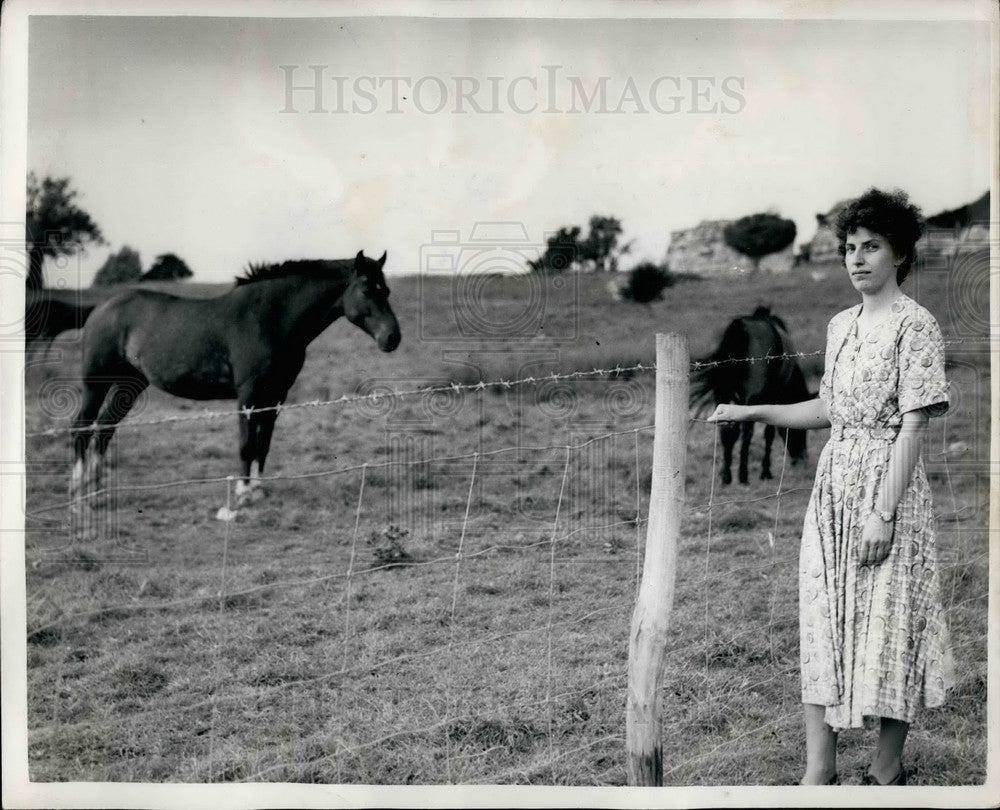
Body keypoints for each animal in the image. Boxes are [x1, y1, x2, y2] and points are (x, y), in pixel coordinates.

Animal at [72, 249, 400, 520]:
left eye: (386, 290)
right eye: (367, 289)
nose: (392, 338)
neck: (269, 317)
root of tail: (99, 309)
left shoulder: (276, 396)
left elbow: (263, 445)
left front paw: (257, 491)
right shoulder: (248, 393)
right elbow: (246, 445)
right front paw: (241, 497)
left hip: (129, 384)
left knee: (104, 429)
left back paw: (97, 491)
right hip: (96, 382)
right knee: (82, 426)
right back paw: (79, 496)